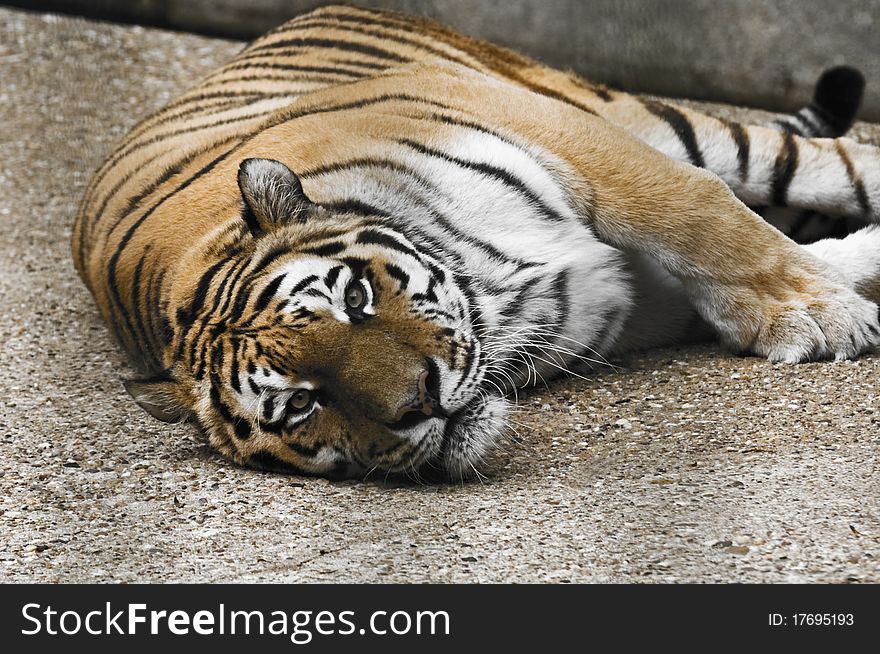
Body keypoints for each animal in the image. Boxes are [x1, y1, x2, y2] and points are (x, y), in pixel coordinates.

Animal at [72, 2, 880, 480]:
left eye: (355, 298)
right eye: (301, 404)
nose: (420, 401)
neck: (493, 297)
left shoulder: (576, 143)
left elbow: (701, 215)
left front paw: (818, 314)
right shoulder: (641, 297)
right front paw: (834, 292)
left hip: (647, 119)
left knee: (836, 160)